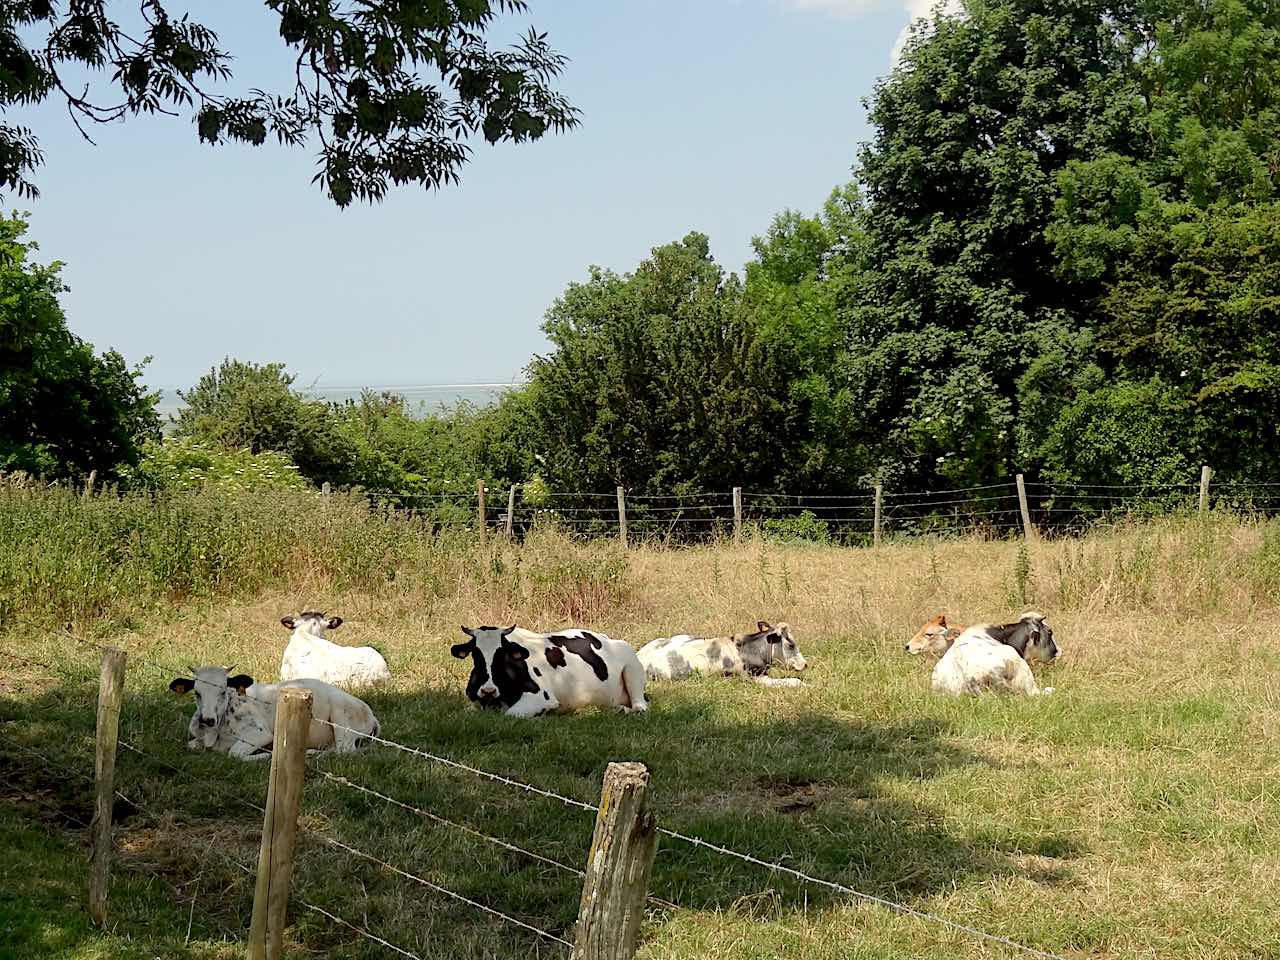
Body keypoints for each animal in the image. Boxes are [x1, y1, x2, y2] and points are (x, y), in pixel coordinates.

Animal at [167, 665, 381, 762]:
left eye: (222, 691)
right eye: (197, 693)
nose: (207, 719)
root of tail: (371, 714)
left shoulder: (260, 733)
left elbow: (235, 754)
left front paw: (268, 755)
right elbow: (191, 745)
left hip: (340, 716)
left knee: (344, 750)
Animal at [453, 627, 650, 716]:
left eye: (502, 655)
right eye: (475, 654)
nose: (488, 690)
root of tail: (606, 637)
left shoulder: (541, 697)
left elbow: (510, 714)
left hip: (633, 668)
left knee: (641, 706)